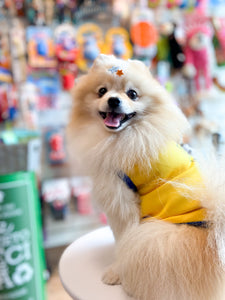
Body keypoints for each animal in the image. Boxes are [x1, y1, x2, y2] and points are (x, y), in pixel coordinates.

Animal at [67, 54, 225, 300]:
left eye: (132, 94)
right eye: (102, 91)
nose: (113, 100)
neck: (123, 137)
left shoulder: (122, 202)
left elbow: (123, 239)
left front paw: (115, 272)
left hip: (154, 236)